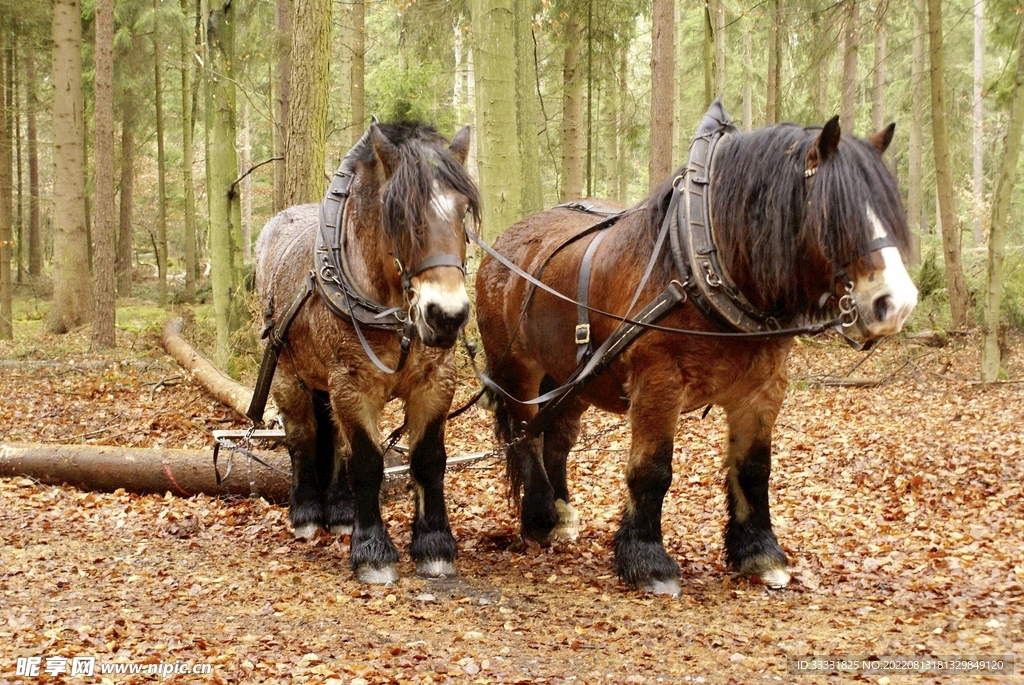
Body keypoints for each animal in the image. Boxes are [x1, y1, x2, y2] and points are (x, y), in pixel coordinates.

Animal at [255, 121, 480, 584]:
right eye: (398, 213)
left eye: (463, 209)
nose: (446, 315)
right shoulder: (352, 385)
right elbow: (367, 463)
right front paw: (373, 551)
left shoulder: (435, 382)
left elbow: (428, 459)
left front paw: (434, 545)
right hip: (288, 375)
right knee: (302, 437)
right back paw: (307, 513)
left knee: (335, 441)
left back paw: (341, 512)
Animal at [474, 101, 917, 595]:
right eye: (835, 214)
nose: (896, 303)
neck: (695, 260)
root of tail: (503, 244)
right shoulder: (659, 382)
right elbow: (652, 470)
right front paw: (647, 560)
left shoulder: (763, 389)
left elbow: (754, 469)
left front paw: (760, 553)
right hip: (518, 370)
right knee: (527, 434)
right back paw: (538, 518)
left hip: (573, 376)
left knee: (558, 437)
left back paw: (561, 513)